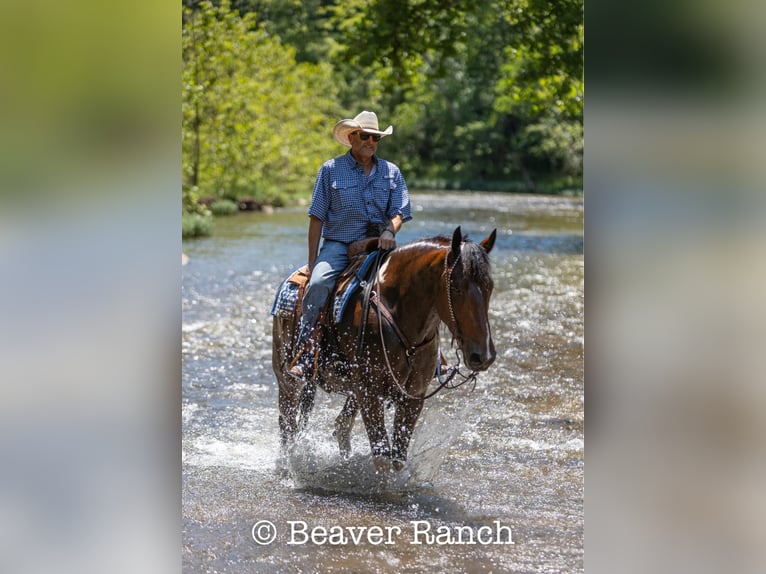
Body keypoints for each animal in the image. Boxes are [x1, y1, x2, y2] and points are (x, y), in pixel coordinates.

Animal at [272, 226, 497, 472]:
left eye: (490, 287)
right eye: (455, 287)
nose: (483, 355)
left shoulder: (414, 396)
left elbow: (397, 458)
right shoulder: (369, 392)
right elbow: (382, 456)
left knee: (341, 425)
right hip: (287, 379)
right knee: (287, 425)